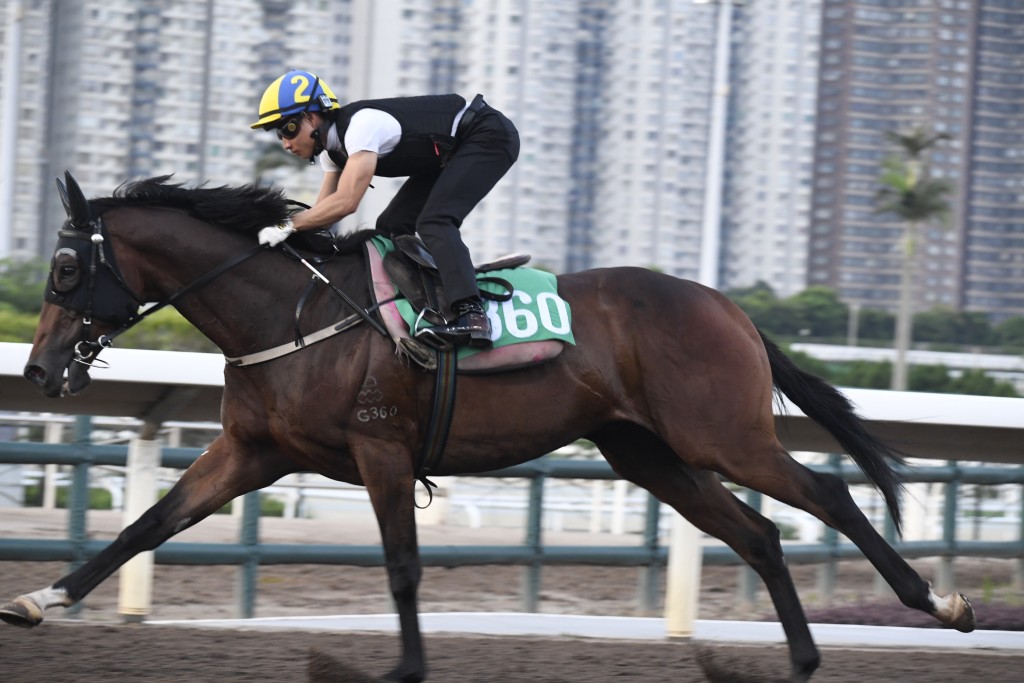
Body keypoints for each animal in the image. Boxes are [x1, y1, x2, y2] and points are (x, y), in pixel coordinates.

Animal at [2, 175, 974, 683]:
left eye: (64, 268)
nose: (40, 372)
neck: (292, 312)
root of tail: (727, 306)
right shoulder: (252, 451)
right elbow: (144, 526)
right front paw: (40, 598)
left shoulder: (381, 448)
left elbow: (400, 565)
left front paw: (402, 667)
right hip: (650, 453)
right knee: (762, 531)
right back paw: (802, 658)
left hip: (719, 435)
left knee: (826, 491)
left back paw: (940, 603)